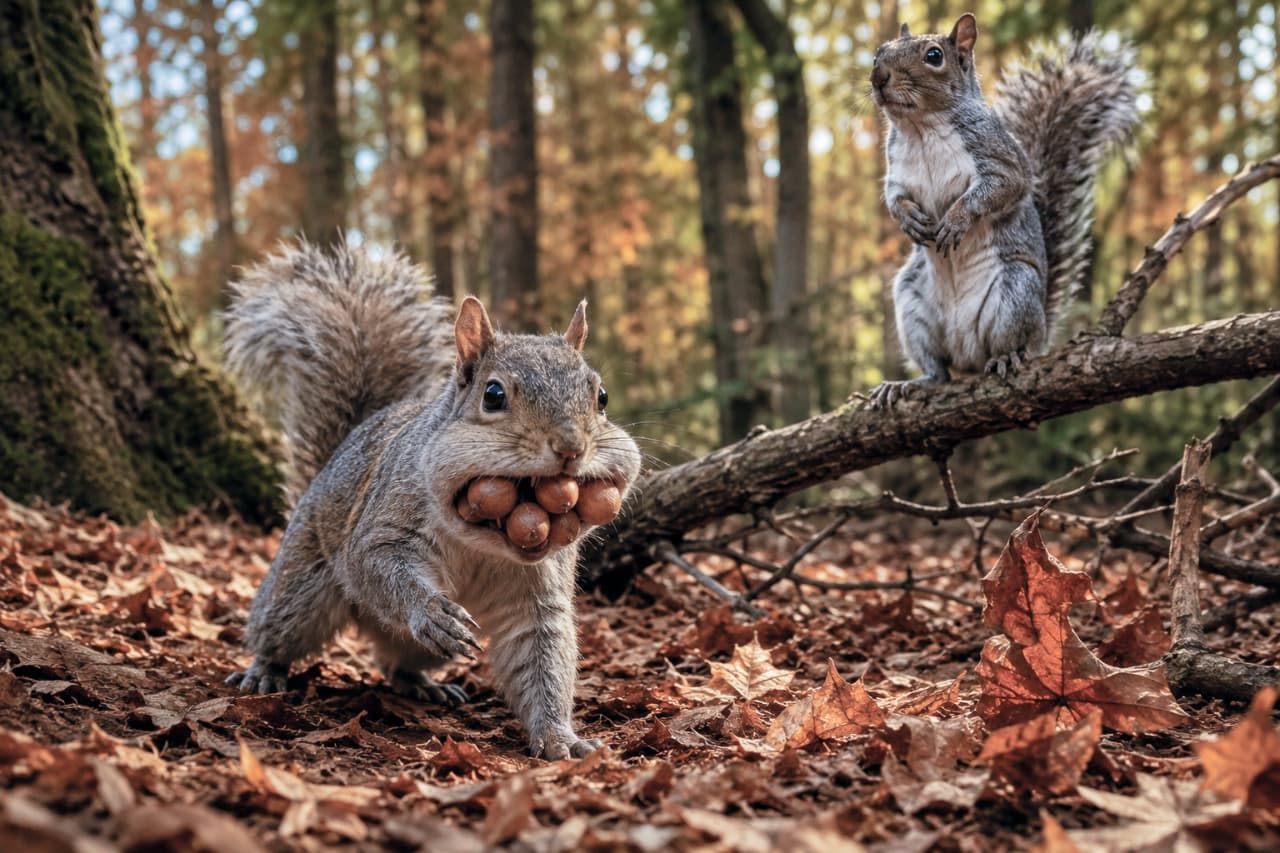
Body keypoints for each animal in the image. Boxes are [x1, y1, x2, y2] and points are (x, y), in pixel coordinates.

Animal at [221, 240, 642, 760]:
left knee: (397, 663)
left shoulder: (540, 593)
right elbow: (374, 562)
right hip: (299, 585)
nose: (571, 448)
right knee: (278, 626)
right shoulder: (387, 521)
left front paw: (559, 737)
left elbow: (543, 656)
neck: (486, 541)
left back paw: (424, 685)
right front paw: (431, 610)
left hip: (417, 647)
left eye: (601, 396)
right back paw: (264, 669)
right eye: (493, 394)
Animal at [867, 13, 1137, 406]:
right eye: (879, 52)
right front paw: (909, 220)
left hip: (1014, 293)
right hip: (912, 304)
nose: (878, 77)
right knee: (939, 370)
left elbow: (1000, 189)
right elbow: (894, 198)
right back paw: (911, 384)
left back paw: (1008, 357)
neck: (922, 127)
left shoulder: (1001, 160)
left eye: (934, 56)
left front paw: (957, 220)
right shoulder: (897, 173)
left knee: (1008, 345)